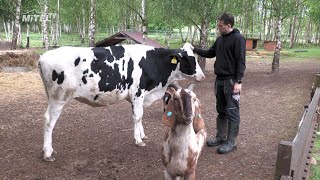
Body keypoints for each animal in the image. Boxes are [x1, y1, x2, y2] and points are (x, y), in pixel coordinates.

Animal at [38, 43, 204, 162]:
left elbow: (139, 117)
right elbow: (138, 116)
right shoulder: (138, 92)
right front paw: (138, 140)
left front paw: (142, 135)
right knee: (49, 121)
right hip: (58, 97)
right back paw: (47, 153)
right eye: (189, 59)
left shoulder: (137, 97)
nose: (202, 76)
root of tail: (43, 57)